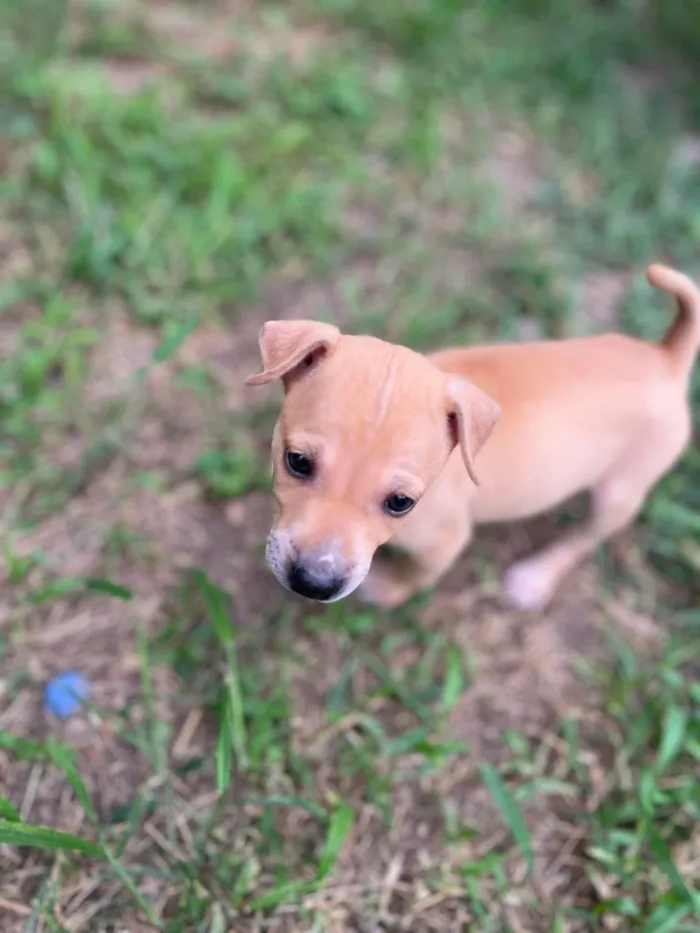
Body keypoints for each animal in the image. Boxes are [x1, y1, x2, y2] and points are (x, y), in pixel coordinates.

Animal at [245, 264, 696, 612]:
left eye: (401, 503)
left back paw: (535, 577)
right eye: (297, 462)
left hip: (621, 490)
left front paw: (391, 588)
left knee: (588, 536)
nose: (314, 583)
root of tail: (667, 358)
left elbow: (420, 574)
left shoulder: (445, 540)